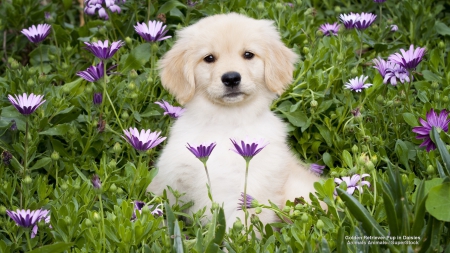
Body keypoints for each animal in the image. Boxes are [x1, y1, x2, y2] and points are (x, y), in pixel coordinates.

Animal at [149, 12, 322, 225]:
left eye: (248, 54)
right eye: (209, 58)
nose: (231, 78)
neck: (226, 122)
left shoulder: (248, 188)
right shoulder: (171, 179)